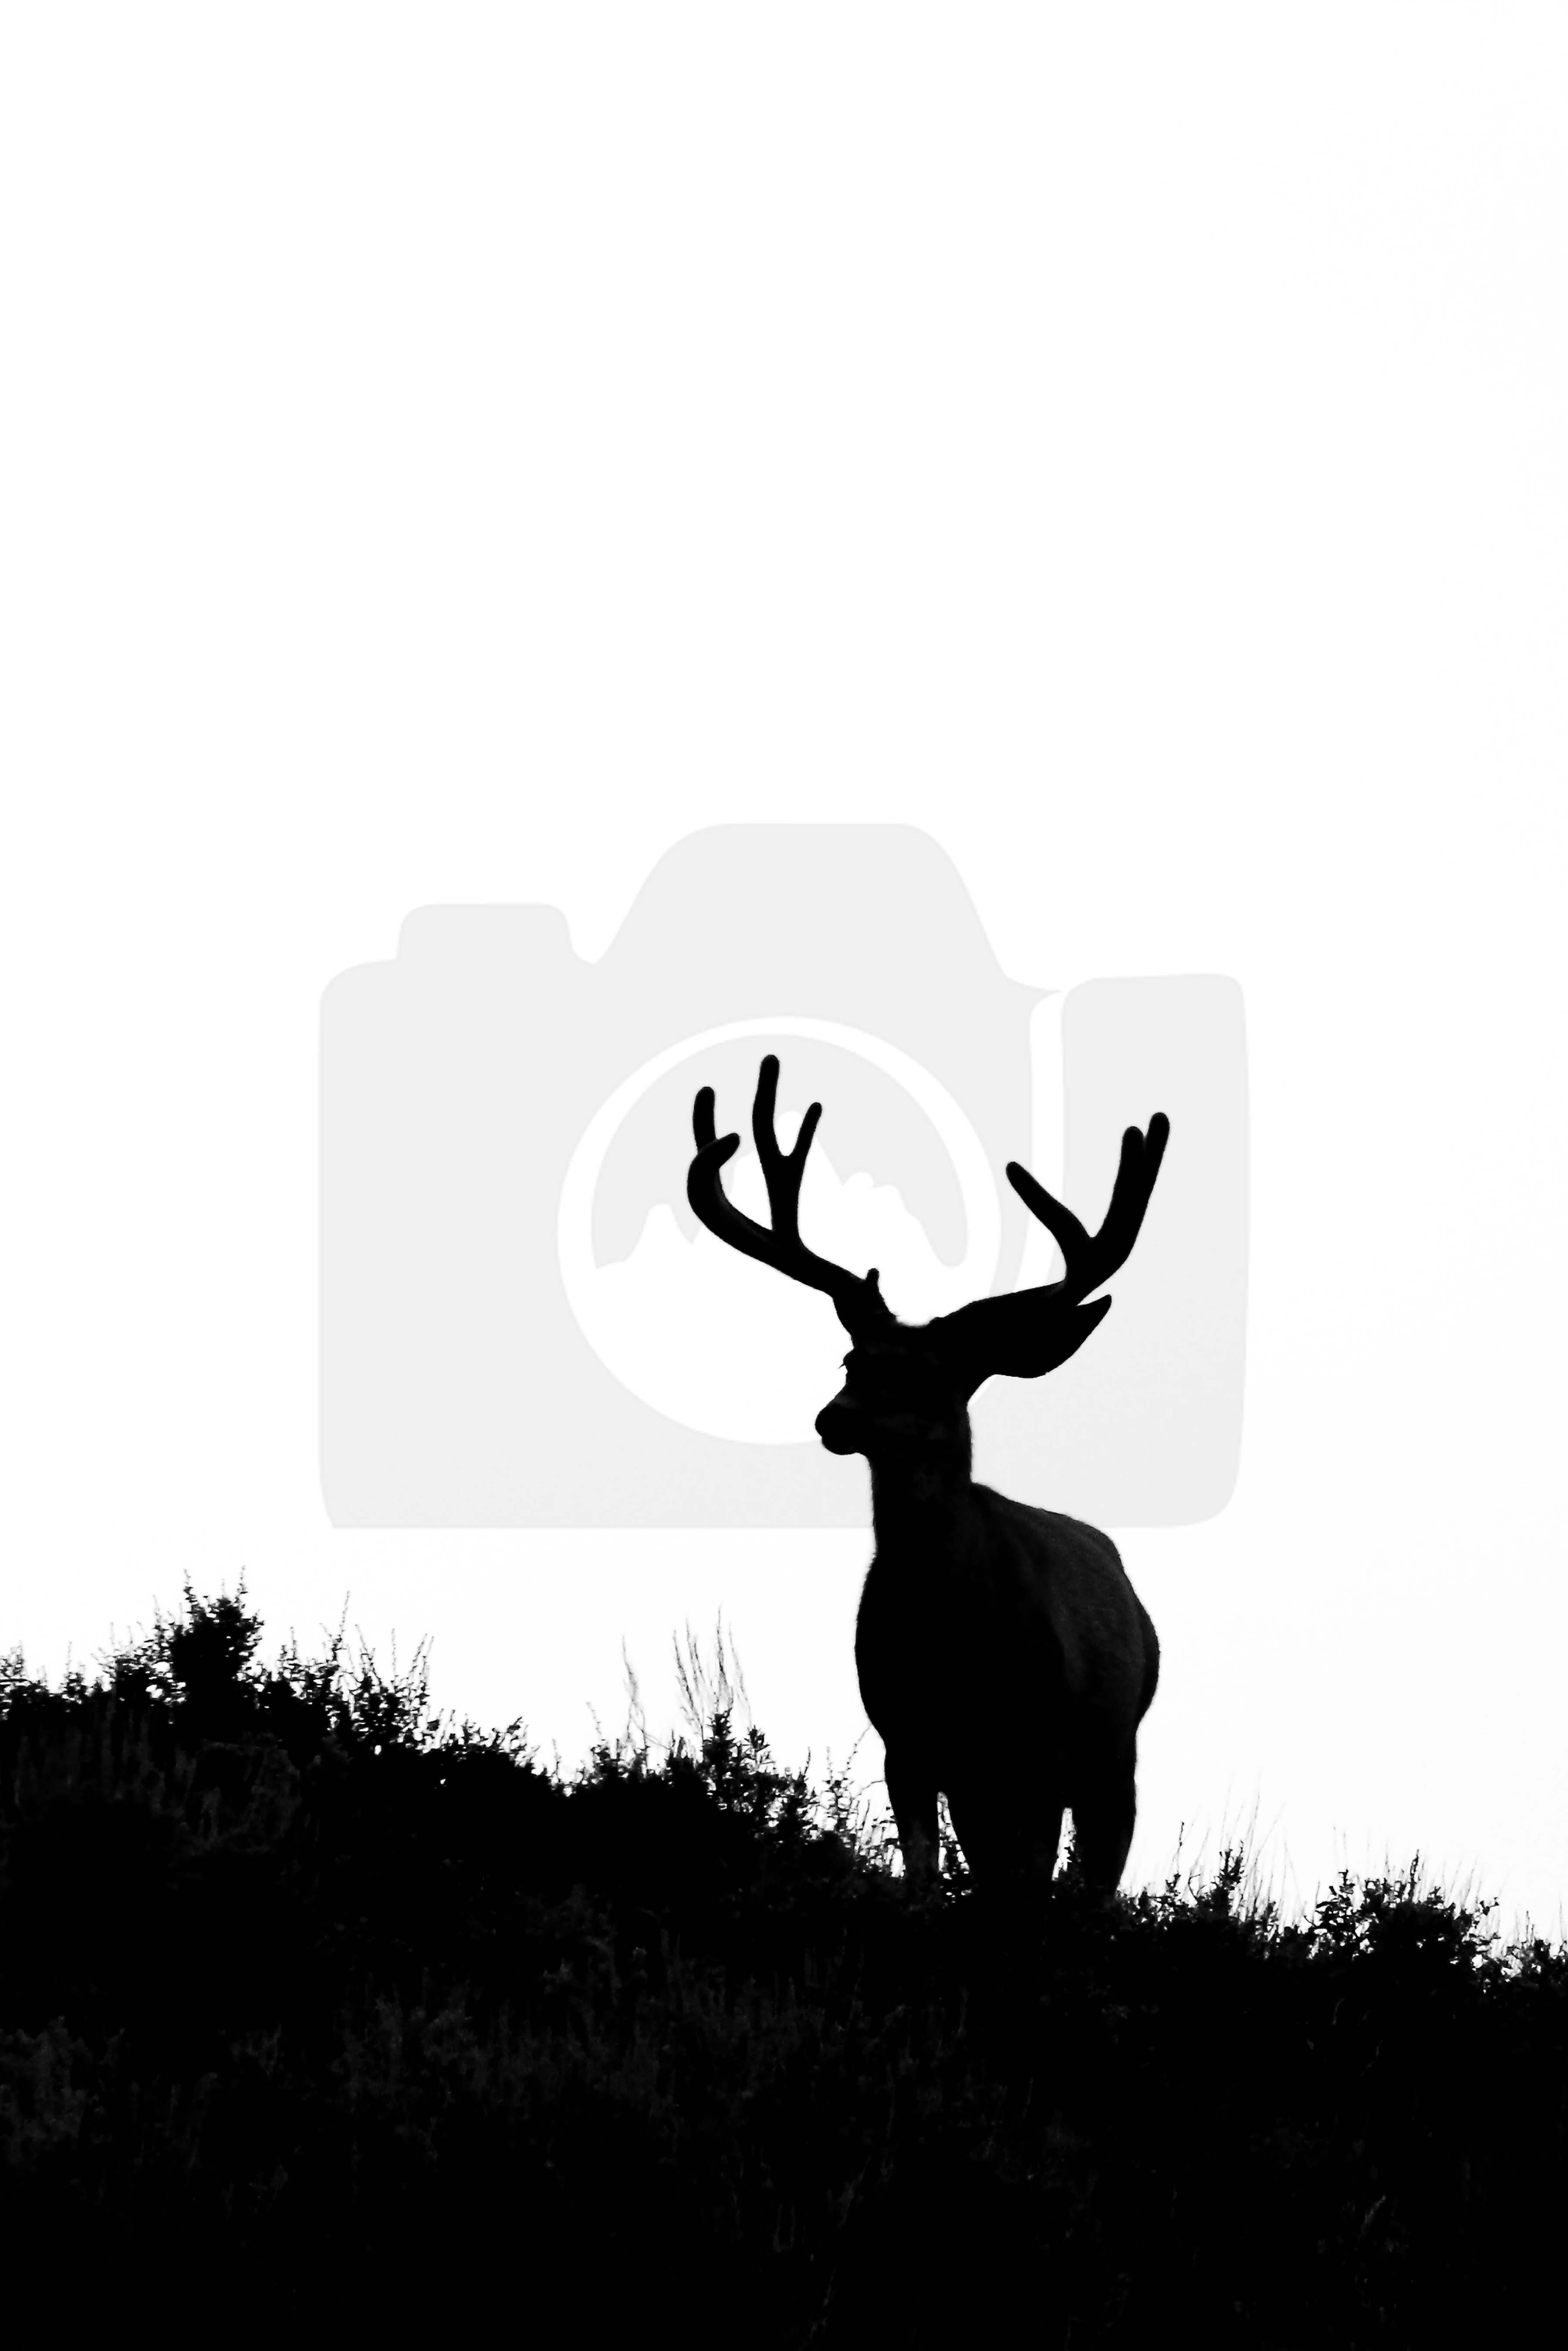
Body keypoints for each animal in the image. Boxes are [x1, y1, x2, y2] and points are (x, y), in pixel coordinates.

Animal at [687, 1053, 1168, 1914]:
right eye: (852, 1359)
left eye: (930, 1379)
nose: (833, 1417)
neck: (951, 1635)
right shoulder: (904, 1738)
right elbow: (924, 1880)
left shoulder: (1037, 1748)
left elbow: (1028, 1886)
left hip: (1115, 1748)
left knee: (1099, 1873)